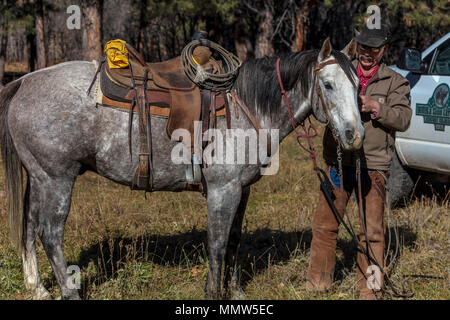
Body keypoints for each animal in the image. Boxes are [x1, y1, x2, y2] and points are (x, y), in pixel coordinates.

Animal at [0, 38, 362, 298]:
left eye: (359, 85)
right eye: (328, 84)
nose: (354, 135)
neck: (247, 105)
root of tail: (24, 82)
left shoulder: (241, 190)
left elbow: (234, 240)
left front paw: (236, 291)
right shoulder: (222, 190)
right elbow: (217, 244)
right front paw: (213, 293)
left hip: (39, 179)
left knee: (29, 228)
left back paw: (38, 288)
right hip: (57, 180)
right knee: (50, 234)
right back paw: (69, 292)